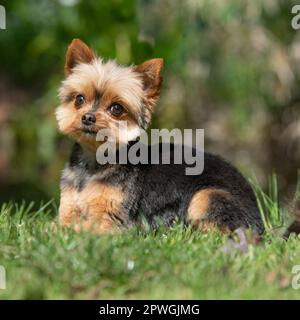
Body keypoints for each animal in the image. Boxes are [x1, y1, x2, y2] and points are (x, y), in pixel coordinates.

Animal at [55, 38, 264, 235]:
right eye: (79, 99)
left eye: (116, 108)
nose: (88, 117)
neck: (92, 163)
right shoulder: (68, 208)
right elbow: (60, 224)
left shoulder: (111, 219)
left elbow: (78, 229)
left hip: (205, 196)